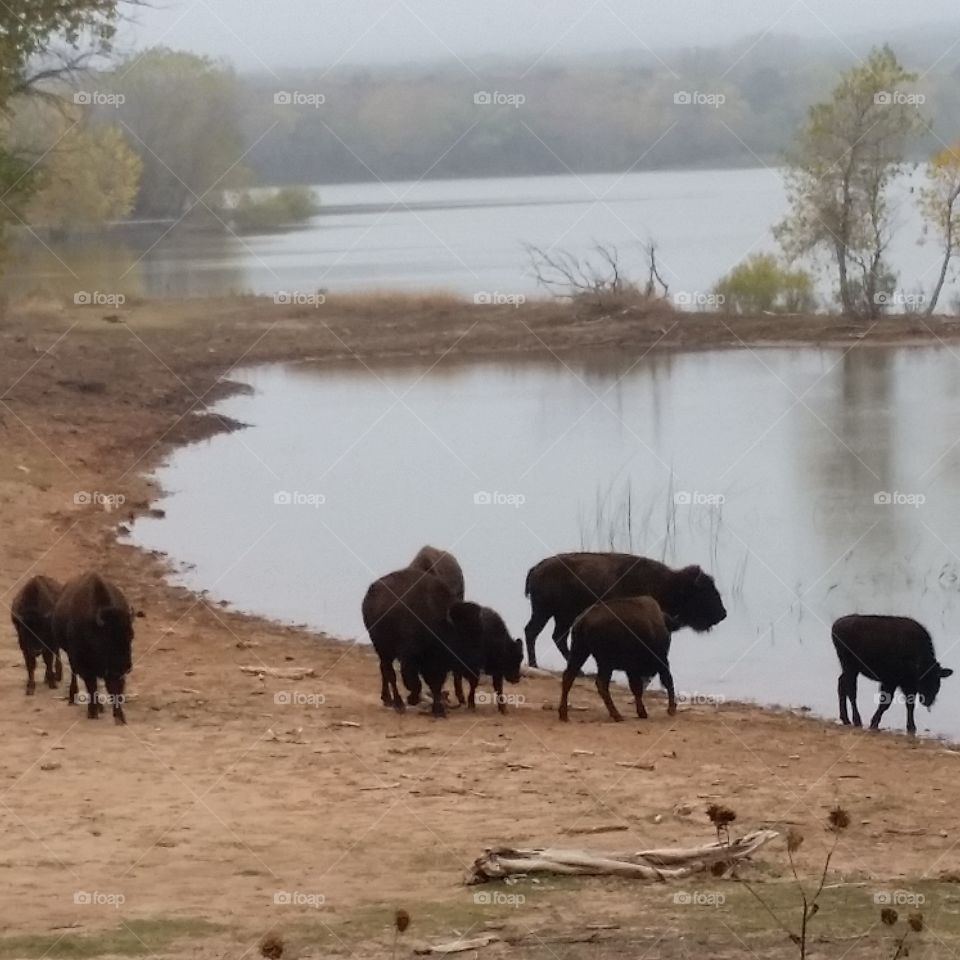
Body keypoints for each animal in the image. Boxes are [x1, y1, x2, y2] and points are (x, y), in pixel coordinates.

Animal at [53, 573, 134, 723]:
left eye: (131, 636)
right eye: (108, 639)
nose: (126, 666)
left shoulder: (112, 671)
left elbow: (114, 689)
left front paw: (120, 717)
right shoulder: (85, 665)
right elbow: (92, 686)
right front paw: (92, 713)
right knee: (75, 676)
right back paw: (74, 699)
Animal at [362, 567, 484, 717]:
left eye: (480, 635)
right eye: (464, 637)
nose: (475, 673)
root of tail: (370, 594)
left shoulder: (437, 664)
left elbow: (435, 684)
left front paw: (438, 710)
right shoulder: (409, 658)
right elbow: (415, 683)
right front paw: (412, 699)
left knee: (384, 670)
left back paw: (388, 700)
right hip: (383, 648)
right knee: (390, 673)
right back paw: (398, 704)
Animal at [524, 552, 726, 666]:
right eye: (705, 592)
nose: (722, 614)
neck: (669, 584)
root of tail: (536, 569)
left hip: (560, 616)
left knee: (555, 636)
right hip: (547, 612)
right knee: (534, 632)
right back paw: (534, 664)